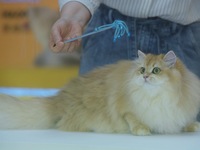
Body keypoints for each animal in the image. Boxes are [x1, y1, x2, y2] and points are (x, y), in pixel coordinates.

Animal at [0, 51, 200, 135]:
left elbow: (182, 122)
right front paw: (142, 130)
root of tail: (58, 100)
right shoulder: (127, 111)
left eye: (156, 70)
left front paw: (192, 126)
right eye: (142, 69)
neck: (157, 97)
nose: (145, 77)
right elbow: (133, 119)